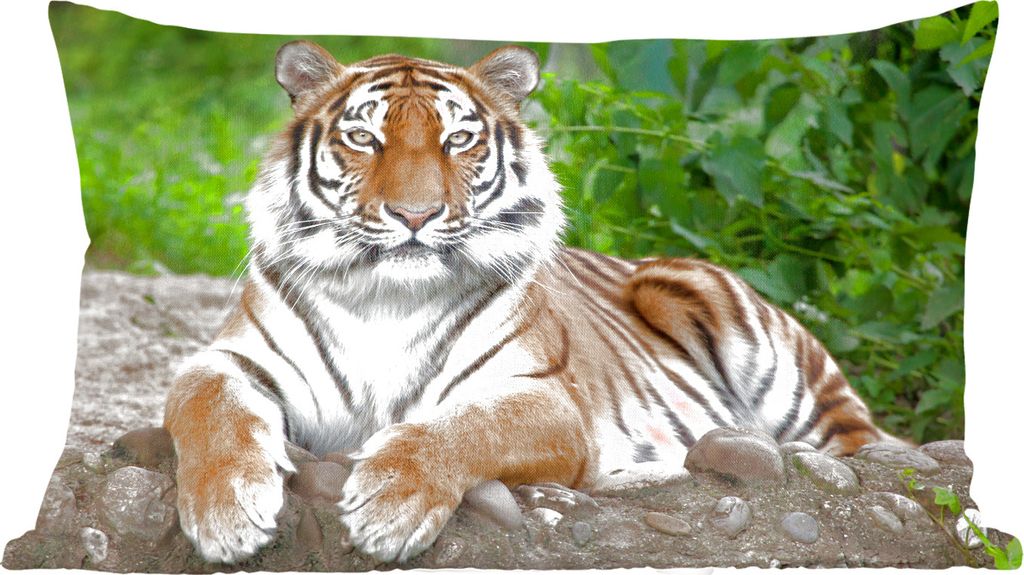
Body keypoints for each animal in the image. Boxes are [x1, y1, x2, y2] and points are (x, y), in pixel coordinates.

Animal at [163, 40, 891, 565]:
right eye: (363, 139)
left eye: (457, 140)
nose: (415, 215)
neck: (386, 297)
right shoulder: (232, 359)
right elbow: (209, 405)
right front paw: (226, 514)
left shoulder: (546, 398)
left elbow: (462, 425)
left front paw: (390, 503)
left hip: (728, 319)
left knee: (861, 441)